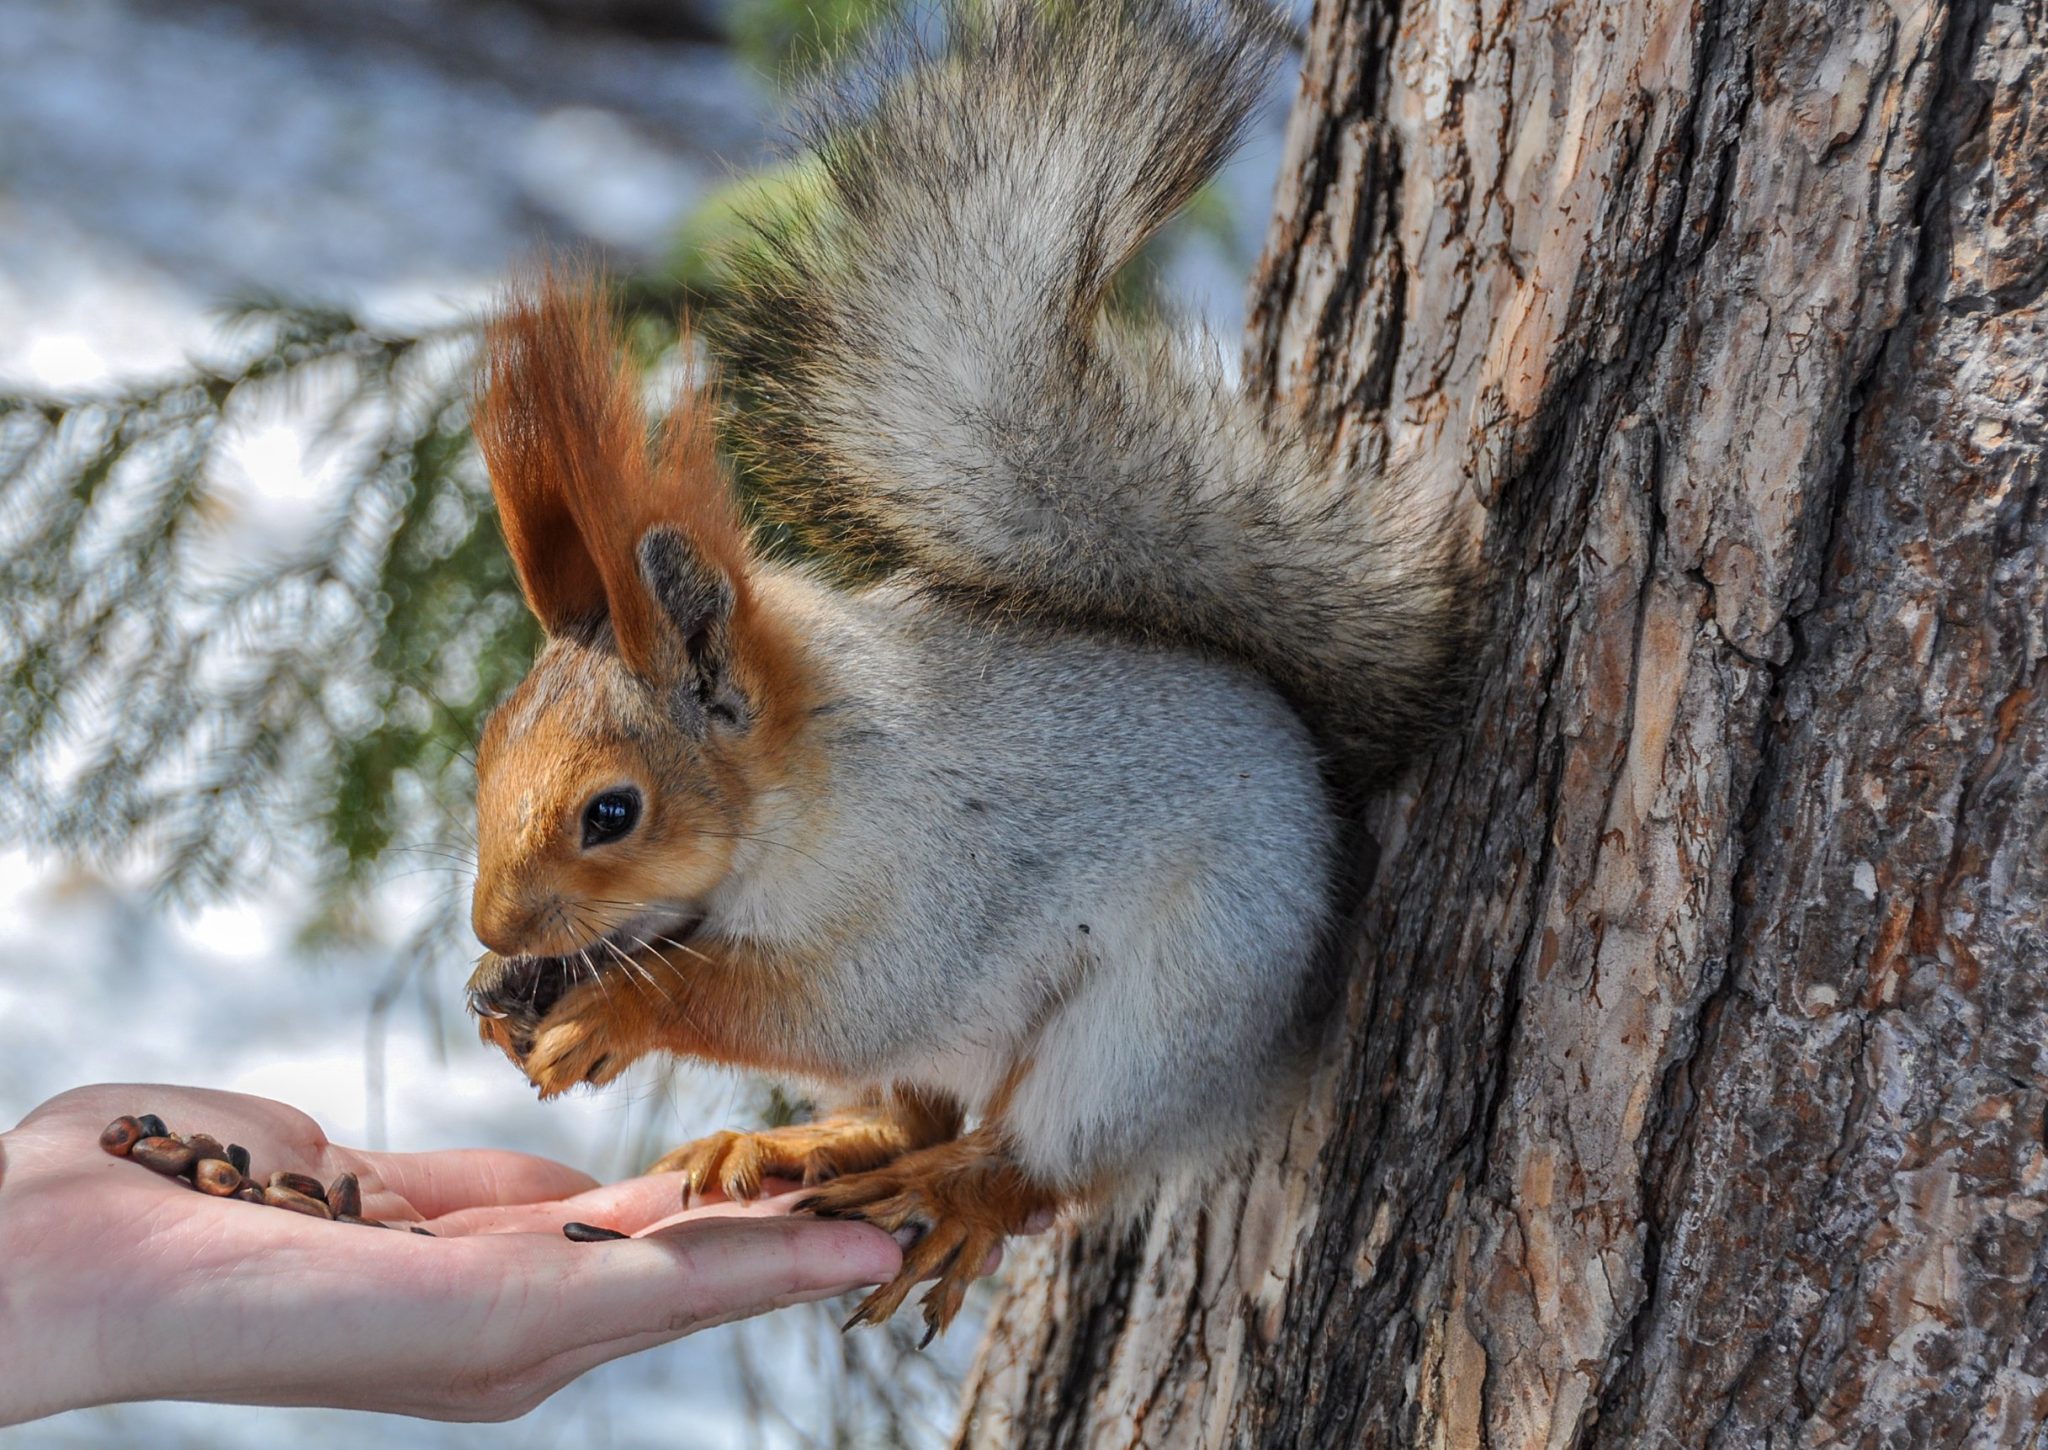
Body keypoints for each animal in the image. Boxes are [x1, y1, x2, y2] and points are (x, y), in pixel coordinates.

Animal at [464, 0, 1474, 1343]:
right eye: (484, 751)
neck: (809, 775)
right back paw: (799, 1146)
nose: (490, 922)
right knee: (910, 1108)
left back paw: (957, 1193)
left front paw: (620, 1009)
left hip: (1165, 1013)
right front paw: (507, 986)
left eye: (612, 812)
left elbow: (823, 1003)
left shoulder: (930, 874)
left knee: (1042, 1160)